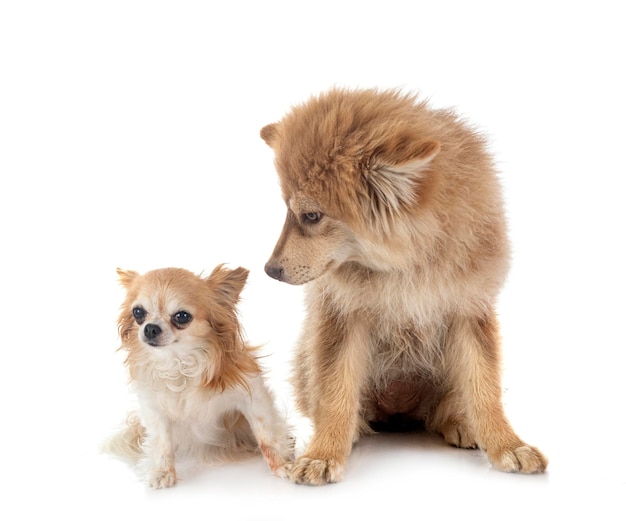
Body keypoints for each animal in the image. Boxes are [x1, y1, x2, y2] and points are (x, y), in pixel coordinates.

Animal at [103, 264, 292, 488]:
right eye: (138, 312)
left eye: (182, 316)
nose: (150, 328)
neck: (179, 362)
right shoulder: (153, 409)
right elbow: (161, 441)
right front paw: (162, 472)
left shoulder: (253, 395)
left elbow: (267, 436)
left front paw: (282, 465)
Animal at [260, 86, 544, 484]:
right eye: (288, 210)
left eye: (312, 215)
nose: (269, 270)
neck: (404, 266)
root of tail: (398, 412)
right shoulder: (342, 316)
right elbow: (335, 393)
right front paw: (324, 453)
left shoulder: (469, 311)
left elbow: (484, 391)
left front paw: (507, 445)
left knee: (448, 407)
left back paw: (461, 424)